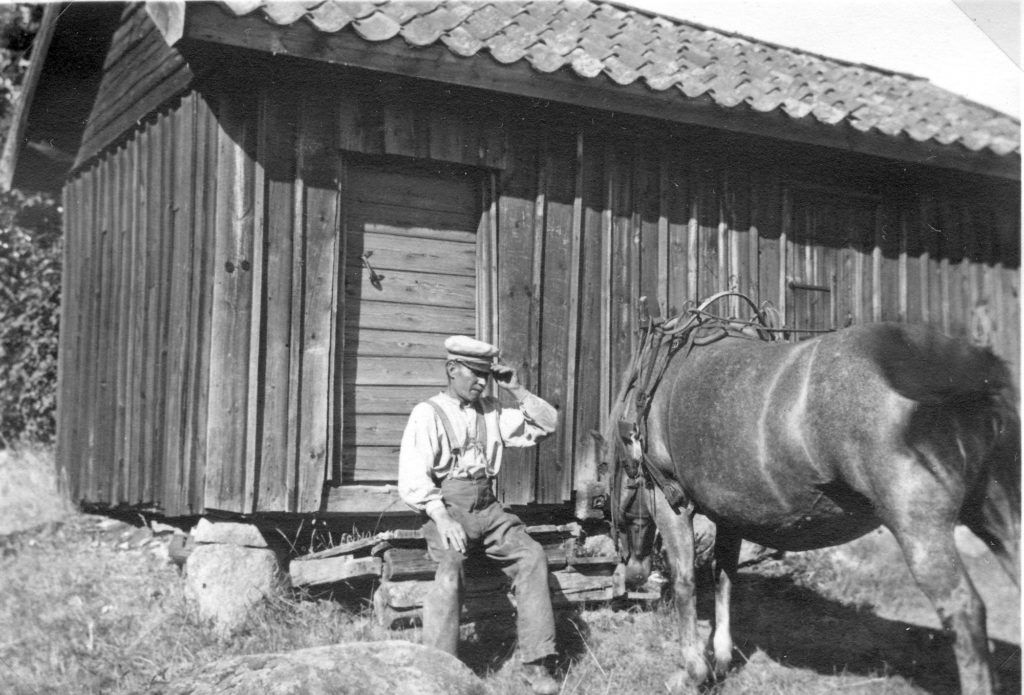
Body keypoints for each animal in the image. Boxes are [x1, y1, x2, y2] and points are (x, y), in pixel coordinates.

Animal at [598, 296, 1019, 691]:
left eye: (610, 479)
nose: (632, 572)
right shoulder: (730, 512)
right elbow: (724, 577)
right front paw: (720, 659)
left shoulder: (669, 499)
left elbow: (686, 581)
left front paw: (693, 671)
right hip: (998, 515)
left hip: (919, 526)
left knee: (964, 611)